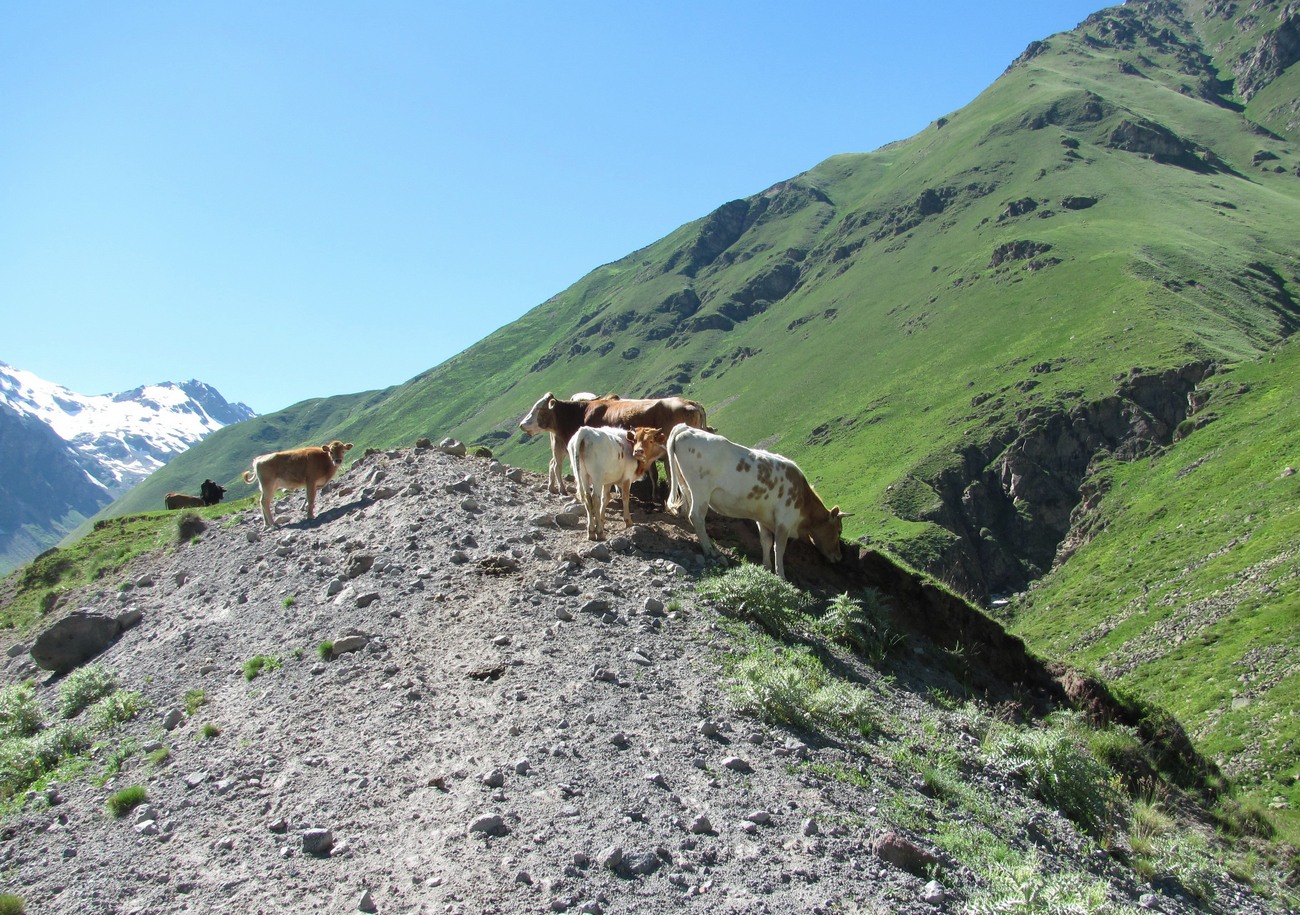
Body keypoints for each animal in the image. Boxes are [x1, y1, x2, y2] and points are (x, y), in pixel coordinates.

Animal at [665, 426, 847, 579]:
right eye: (838, 531)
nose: (839, 557)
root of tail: (686, 428)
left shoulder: (763, 518)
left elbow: (766, 542)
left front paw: (766, 567)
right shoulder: (784, 520)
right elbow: (779, 548)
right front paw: (781, 575)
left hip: (686, 486)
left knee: (688, 511)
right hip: (701, 490)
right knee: (696, 516)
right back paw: (710, 551)